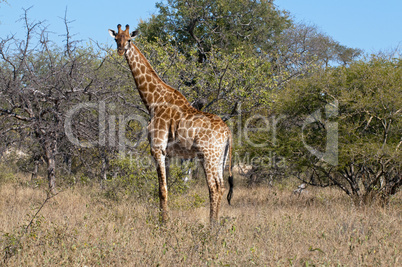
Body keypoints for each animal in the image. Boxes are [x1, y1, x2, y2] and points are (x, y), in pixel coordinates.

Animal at [108, 24, 234, 224]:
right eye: (115, 39)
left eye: (128, 39)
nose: (120, 51)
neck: (153, 101)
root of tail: (228, 132)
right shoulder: (166, 152)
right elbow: (165, 188)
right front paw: (164, 219)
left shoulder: (156, 148)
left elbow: (162, 189)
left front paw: (163, 223)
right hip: (220, 157)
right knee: (221, 186)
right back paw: (215, 224)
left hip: (208, 155)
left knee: (214, 187)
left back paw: (211, 226)